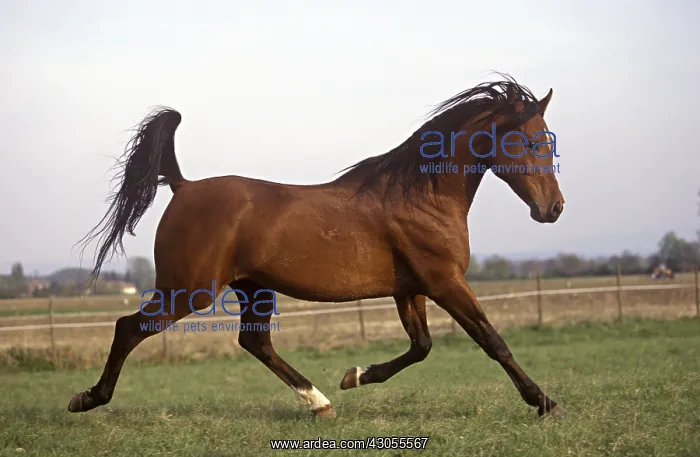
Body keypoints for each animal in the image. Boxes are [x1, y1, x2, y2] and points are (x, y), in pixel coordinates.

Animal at [68, 74, 566, 420]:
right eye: (534, 140)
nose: (554, 208)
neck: (420, 197)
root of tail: (182, 186)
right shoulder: (444, 281)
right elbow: (491, 340)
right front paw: (545, 402)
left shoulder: (410, 288)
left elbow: (422, 346)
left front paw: (355, 376)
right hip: (188, 291)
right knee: (128, 328)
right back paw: (86, 399)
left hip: (252, 288)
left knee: (255, 342)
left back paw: (321, 402)